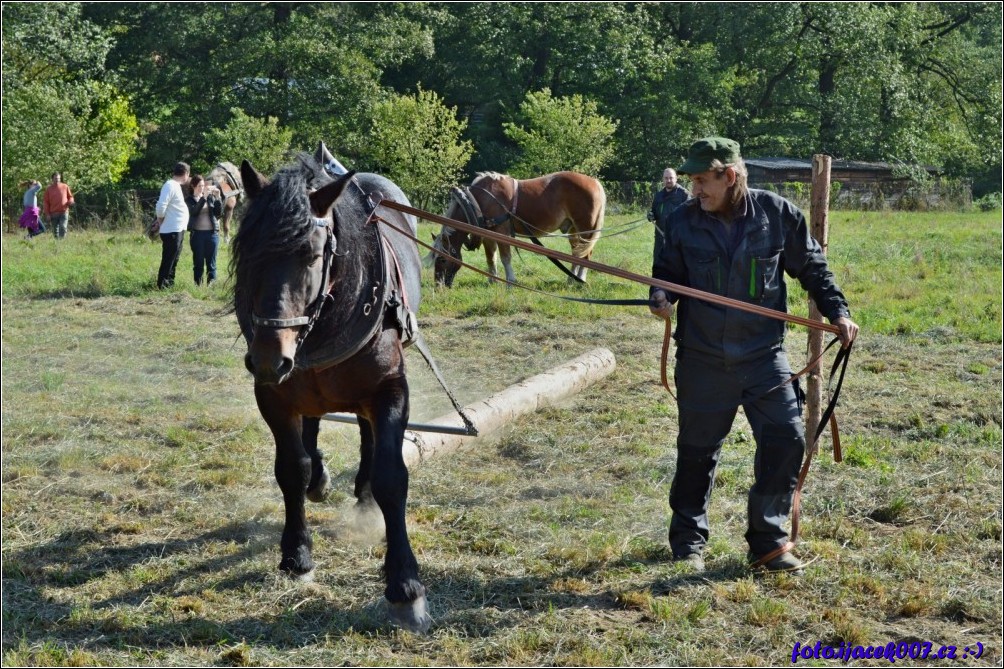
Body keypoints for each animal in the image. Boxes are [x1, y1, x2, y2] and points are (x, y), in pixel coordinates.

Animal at [232, 153, 433, 634]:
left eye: (310, 254)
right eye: (247, 252)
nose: (269, 357)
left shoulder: (389, 389)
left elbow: (392, 475)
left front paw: (405, 585)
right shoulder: (273, 395)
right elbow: (292, 468)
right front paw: (297, 554)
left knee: (364, 431)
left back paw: (362, 489)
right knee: (313, 423)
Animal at [429, 170, 602, 285]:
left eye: (442, 259)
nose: (438, 285)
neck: (479, 201)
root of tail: (595, 182)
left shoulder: (502, 231)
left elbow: (505, 257)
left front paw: (510, 280)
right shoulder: (487, 234)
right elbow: (491, 257)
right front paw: (492, 281)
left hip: (585, 228)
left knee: (586, 255)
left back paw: (580, 280)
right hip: (573, 229)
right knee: (577, 253)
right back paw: (571, 279)